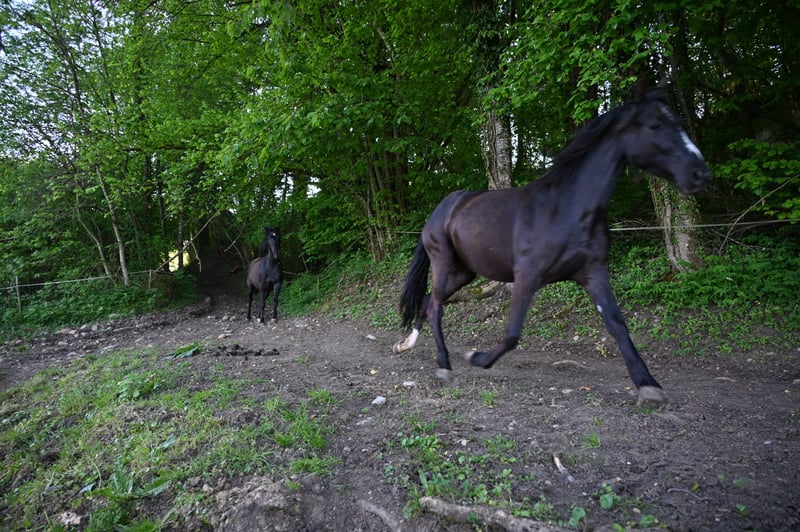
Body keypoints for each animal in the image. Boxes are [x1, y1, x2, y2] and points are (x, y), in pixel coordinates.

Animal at [393, 81, 710, 404]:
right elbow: (512, 333)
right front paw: (476, 357)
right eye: (655, 125)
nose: (700, 173)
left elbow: (617, 324)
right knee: (435, 307)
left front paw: (648, 385)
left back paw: (407, 345)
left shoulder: (593, 272)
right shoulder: (526, 276)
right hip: (443, 263)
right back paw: (443, 365)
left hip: (464, 272)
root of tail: (439, 211)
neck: (566, 208)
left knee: (428, 303)